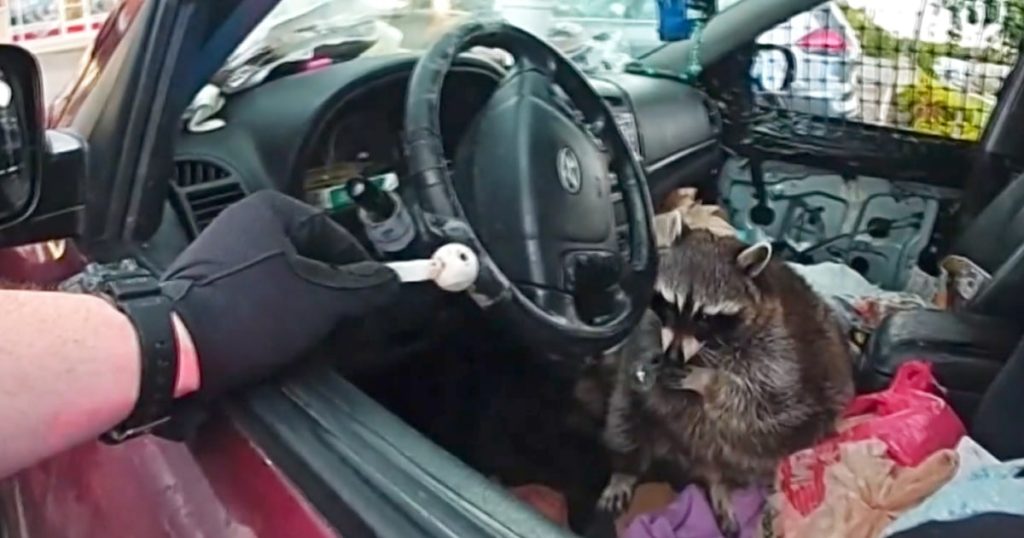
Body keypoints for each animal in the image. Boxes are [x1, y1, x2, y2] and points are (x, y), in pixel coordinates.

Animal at [597, 228, 854, 534]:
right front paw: (652, 358)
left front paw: (708, 381)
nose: (671, 357)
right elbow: (639, 345)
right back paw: (625, 469)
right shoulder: (649, 322)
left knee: (749, 449)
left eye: (705, 317)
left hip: (788, 436)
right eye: (670, 305)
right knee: (625, 417)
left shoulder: (782, 349)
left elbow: (765, 398)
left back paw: (721, 484)